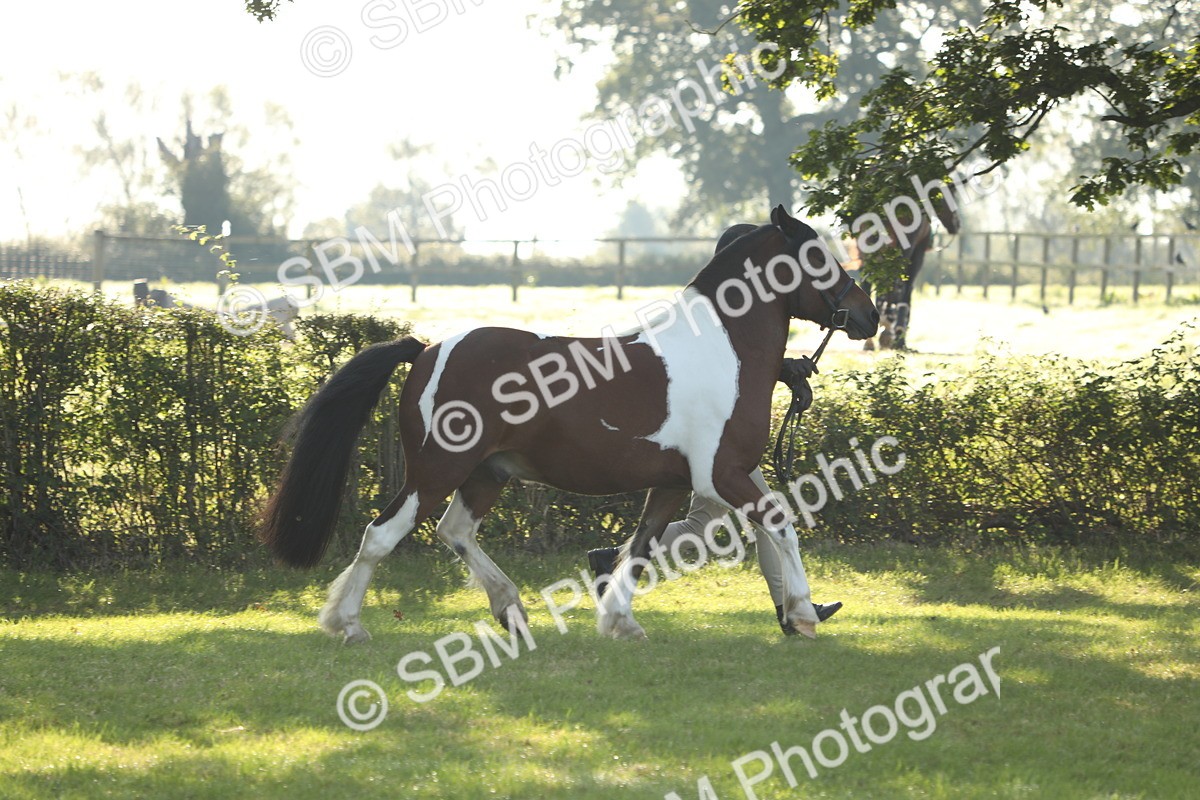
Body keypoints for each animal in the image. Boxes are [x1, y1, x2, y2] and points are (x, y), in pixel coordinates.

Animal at [257, 205, 879, 643]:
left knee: (455, 533)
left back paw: (511, 609)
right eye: (818, 257)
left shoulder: (672, 483)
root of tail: (428, 350)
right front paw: (803, 613)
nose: (868, 315)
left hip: (487, 473)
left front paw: (620, 621)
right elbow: (782, 524)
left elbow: (641, 548)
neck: (724, 350)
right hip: (436, 470)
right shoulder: (721, 475)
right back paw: (348, 624)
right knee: (381, 535)